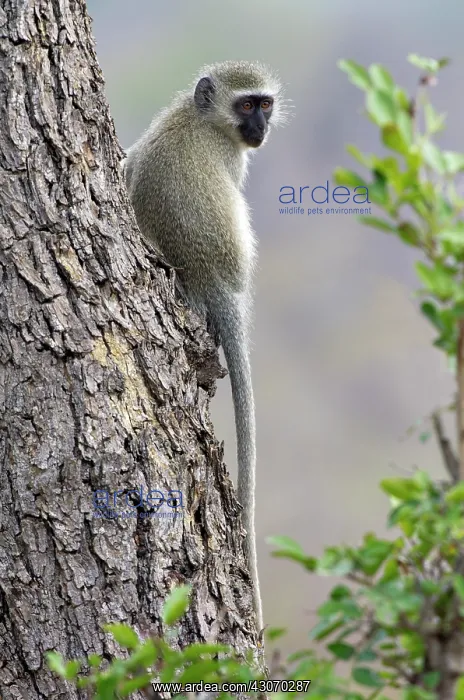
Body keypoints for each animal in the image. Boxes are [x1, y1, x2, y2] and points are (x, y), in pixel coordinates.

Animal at [123, 61, 288, 635]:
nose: (261, 126)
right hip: (229, 276)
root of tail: (208, 284)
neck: (199, 117)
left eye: (265, 103)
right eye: (247, 105)